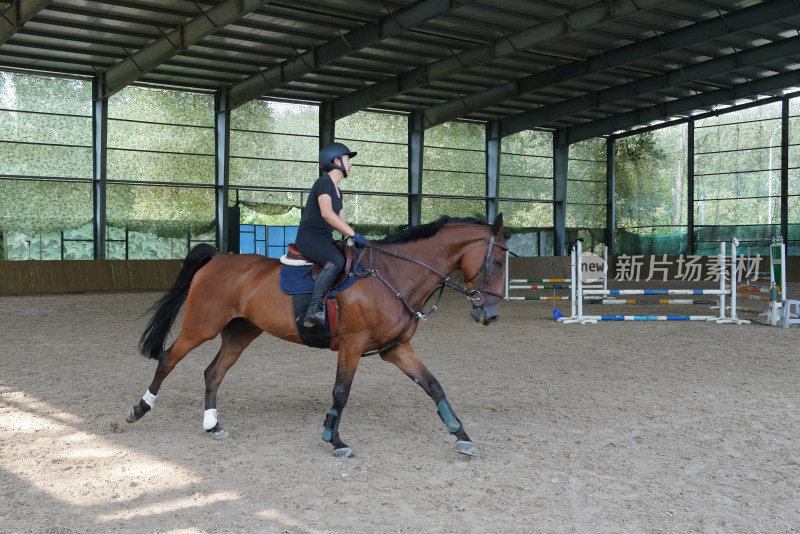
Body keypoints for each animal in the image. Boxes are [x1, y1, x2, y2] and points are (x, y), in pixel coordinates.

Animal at [128, 216, 510, 458]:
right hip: (201, 326)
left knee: (213, 372)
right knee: (168, 359)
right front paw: (335, 439)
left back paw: (213, 425)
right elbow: (341, 392)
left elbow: (433, 386)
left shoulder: (397, 348)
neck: (392, 274)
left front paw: (461, 435)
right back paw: (139, 409)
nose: (490, 315)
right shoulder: (353, 344)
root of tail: (220, 257)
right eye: (498, 262)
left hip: (241, 333)